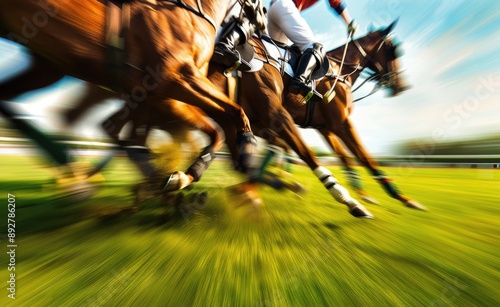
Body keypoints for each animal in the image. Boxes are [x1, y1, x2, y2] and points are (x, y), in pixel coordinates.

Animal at [0, 0, 264, 191]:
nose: (262, 19)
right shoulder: (175, 80)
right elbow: (233, 114)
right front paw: (247, 150)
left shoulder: (162, 97)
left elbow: (219, 127)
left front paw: (177, 176)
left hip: (47, 66)